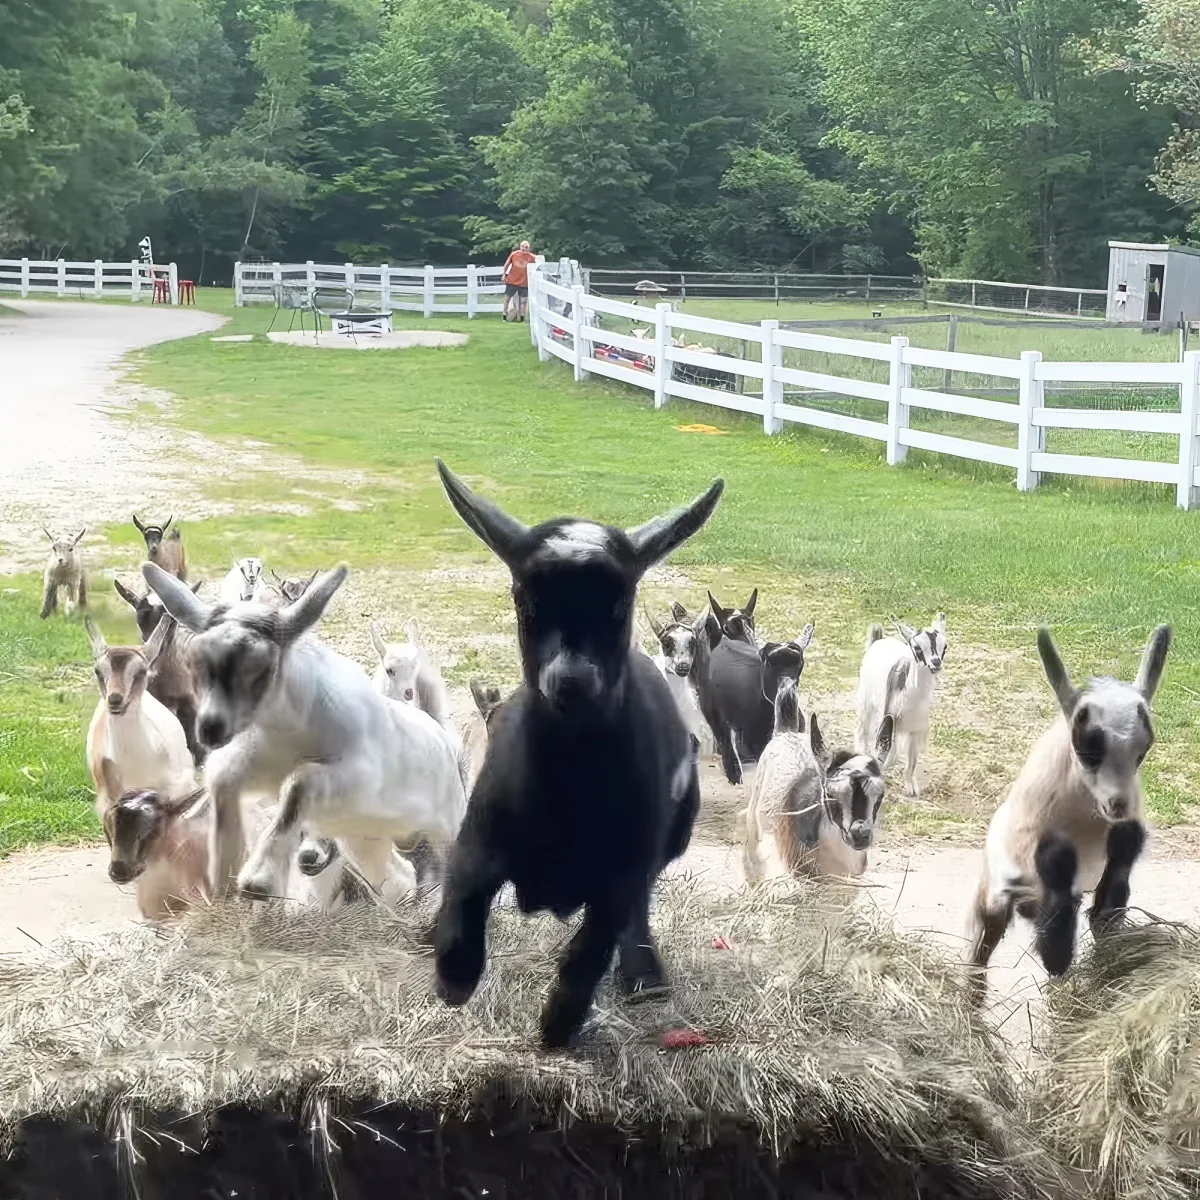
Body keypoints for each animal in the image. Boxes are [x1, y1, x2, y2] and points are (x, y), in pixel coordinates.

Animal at [142, 561, 467, 902]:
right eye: (194, 662)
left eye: (262, 667)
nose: (209, 729)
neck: (291, 735)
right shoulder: (256, 764)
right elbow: (223, 782)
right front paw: (224, 878)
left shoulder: (362, 777)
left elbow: (299, 784)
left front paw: (259, 879)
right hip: (362, 834)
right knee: (398, 873)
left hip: (446, 823)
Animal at [704, 623, 815, 784]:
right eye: (767, 663)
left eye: (800, 664)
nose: (787, 692)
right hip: (713, 714)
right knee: (724, 741)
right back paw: (734, 776)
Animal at [855, 613, 947, 798]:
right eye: (917, 648)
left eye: (945, 647)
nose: (935, 662)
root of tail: (879, 640)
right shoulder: (889, 717)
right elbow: (887, 751)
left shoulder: (915, 727)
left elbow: (912, 761)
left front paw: (912, 789)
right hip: (865, 698)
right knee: (862, 725)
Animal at [967, 625, 1170, 999]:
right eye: (1087, 750)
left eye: (1142, 751)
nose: (1117, 804)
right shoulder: (1029, 850)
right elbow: (1057, 872)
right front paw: (1058, 955)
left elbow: (1113, 887)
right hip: (996, 892)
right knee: (984, 943)